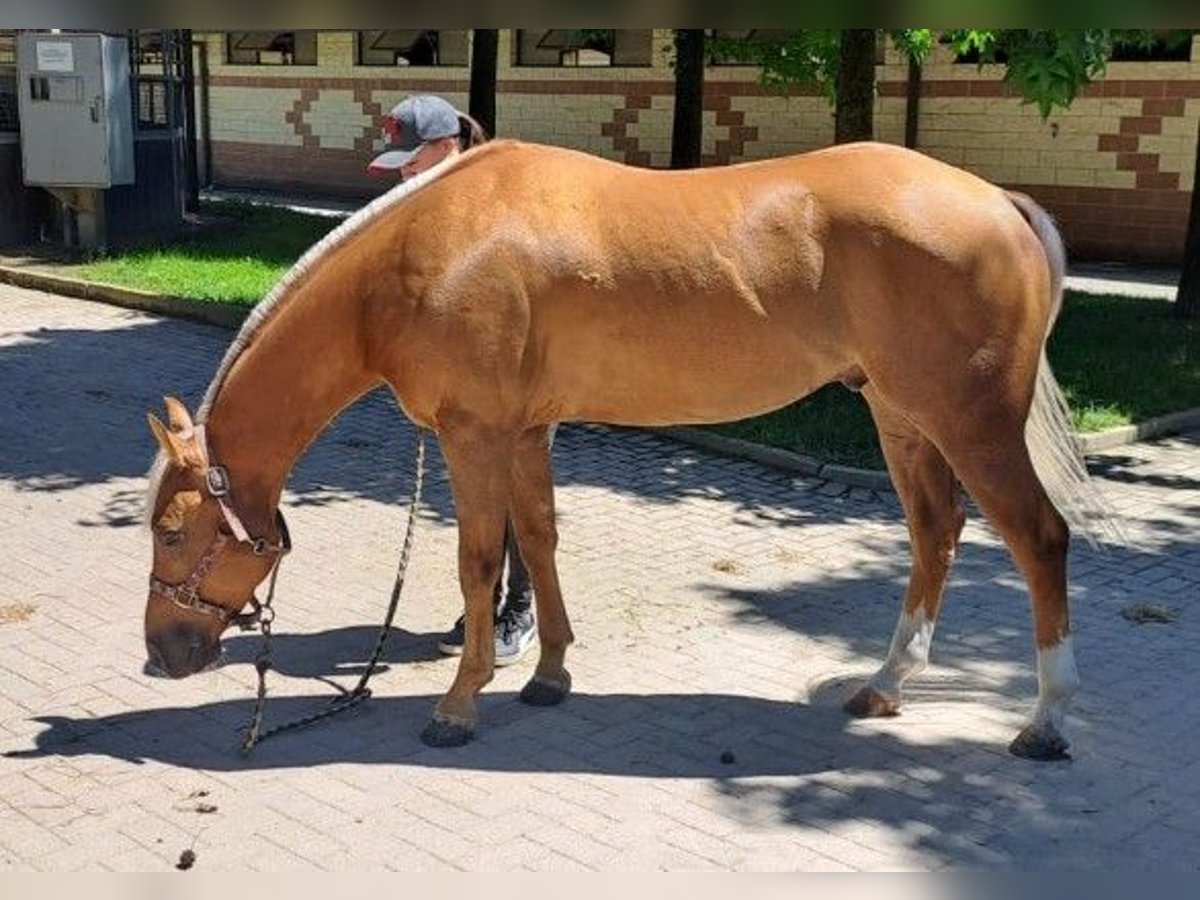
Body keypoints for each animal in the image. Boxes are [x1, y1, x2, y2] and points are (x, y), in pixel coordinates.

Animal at [142, 139, 1113, 763]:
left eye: (172, 533)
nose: (162, 654)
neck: (423, 255)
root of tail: (999, 203)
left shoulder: (474, 436)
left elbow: (478, 561)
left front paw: (459, 704)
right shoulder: (526, 432)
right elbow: (538, 542)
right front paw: (550, 674)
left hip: (971, 421)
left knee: (1038, 540)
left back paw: (1048, 722)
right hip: (901, 415)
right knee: (935, 533)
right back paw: (886, 685)